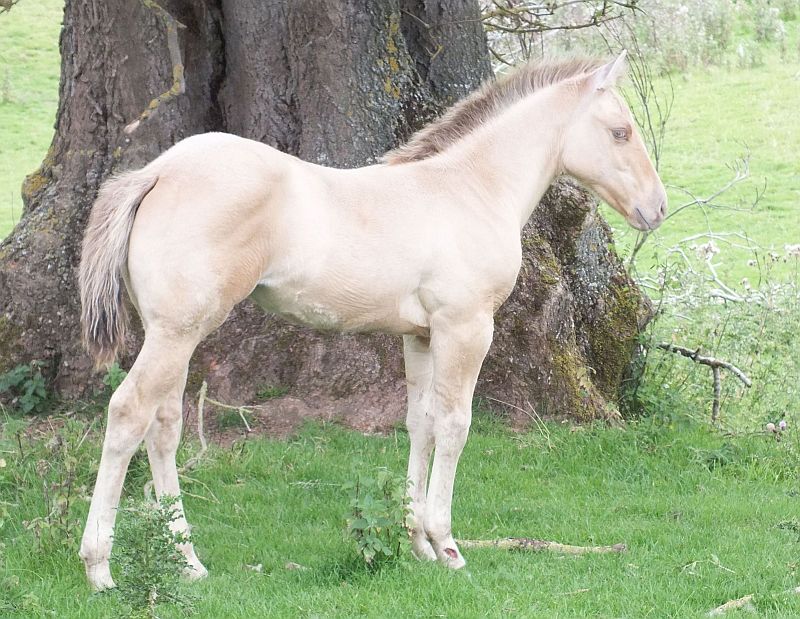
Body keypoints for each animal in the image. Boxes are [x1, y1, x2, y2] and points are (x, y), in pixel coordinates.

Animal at [78, 51, 667, 590]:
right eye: (620, 132)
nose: (656, 208)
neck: (471, 189)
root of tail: (156, 172)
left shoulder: (421, 336)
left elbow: (420, 423)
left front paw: (418, 543)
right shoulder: (466, 327)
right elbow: (455, 425)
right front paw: (447, 545)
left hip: (173, 333)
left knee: (163, 426)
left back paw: (188, 562)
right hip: (178, 332)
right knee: (128, 413)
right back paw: (100, 568)